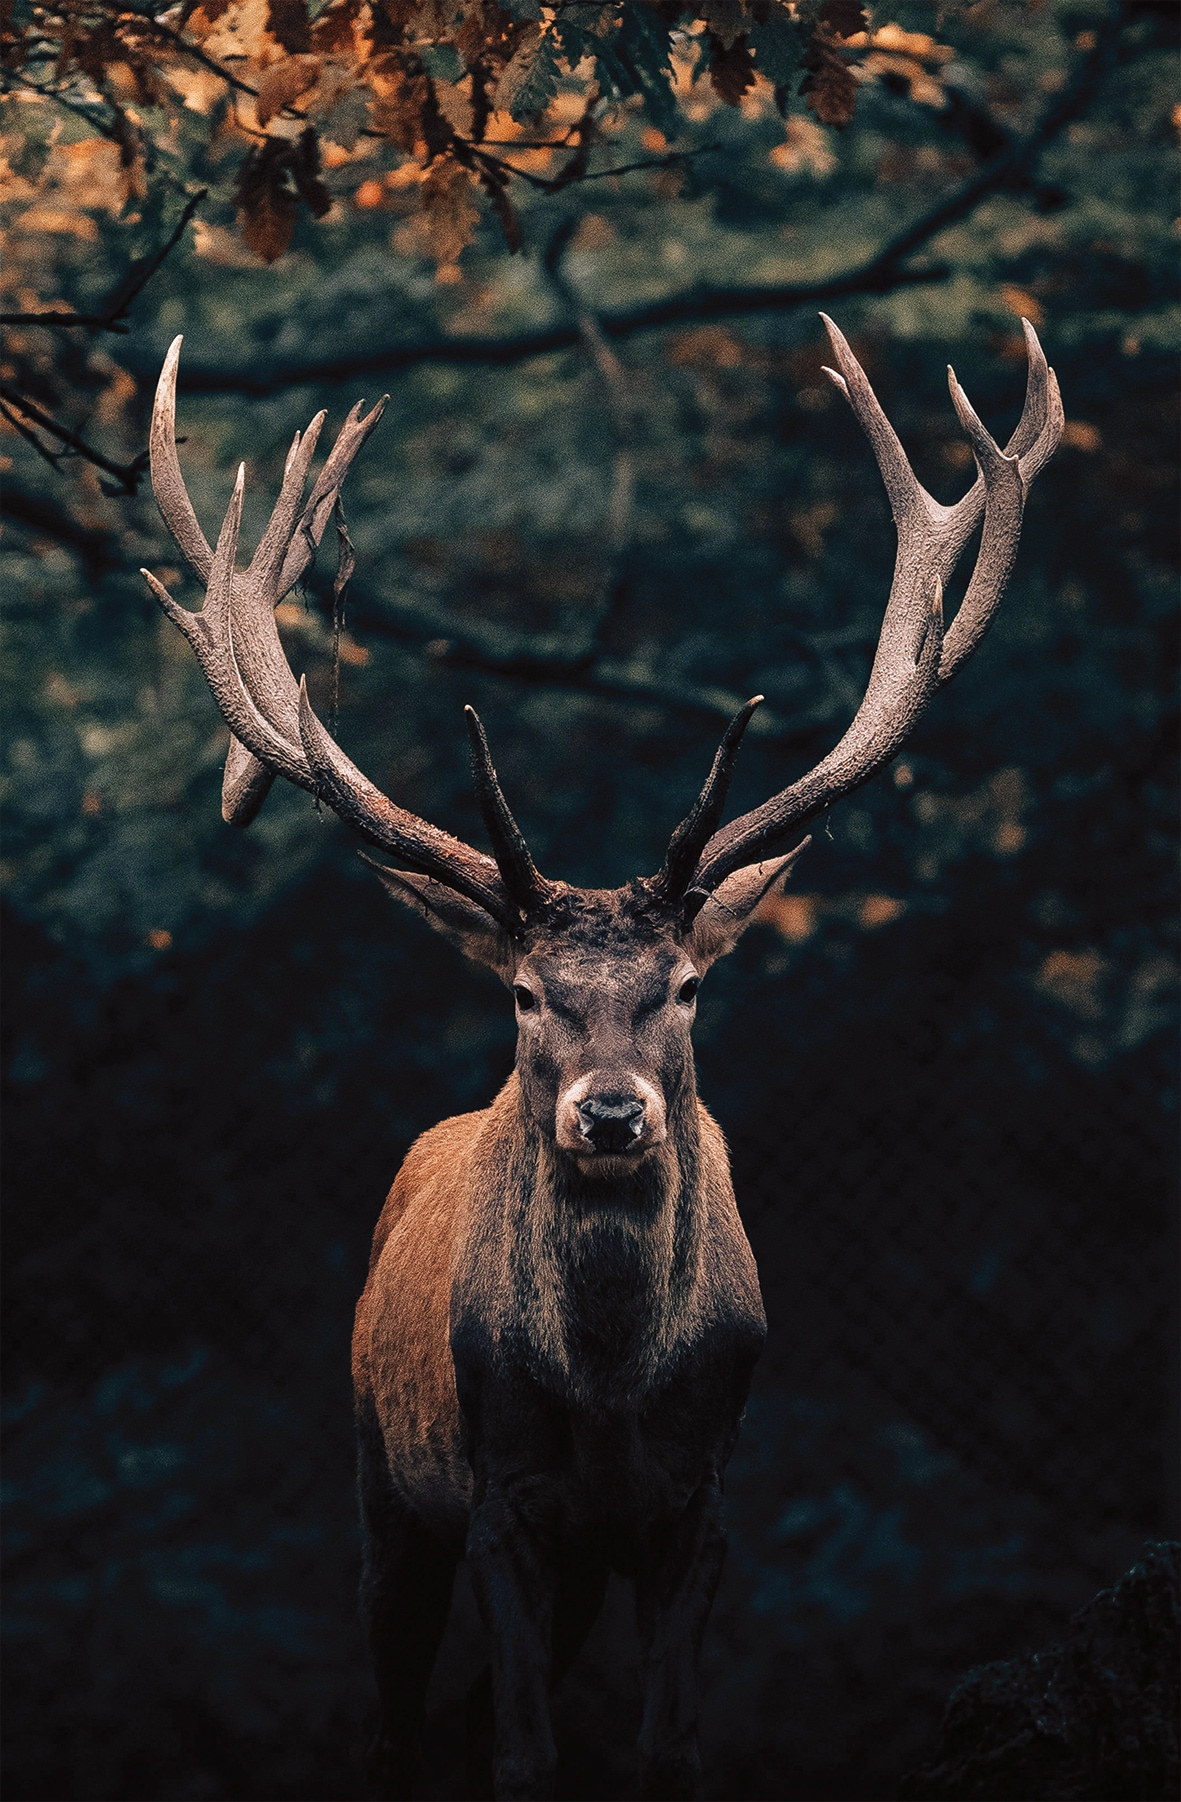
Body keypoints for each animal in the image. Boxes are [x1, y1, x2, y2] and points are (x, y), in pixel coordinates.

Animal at [143, 316, 1061, 1802]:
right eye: (524, 993)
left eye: (684, 985)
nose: (613, 1112)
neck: (617, 1389)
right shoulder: (501, 1490)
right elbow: (522, 1750)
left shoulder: (704, 1499)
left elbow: (666, 1743)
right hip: (381, 1469)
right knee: (397, 1712)